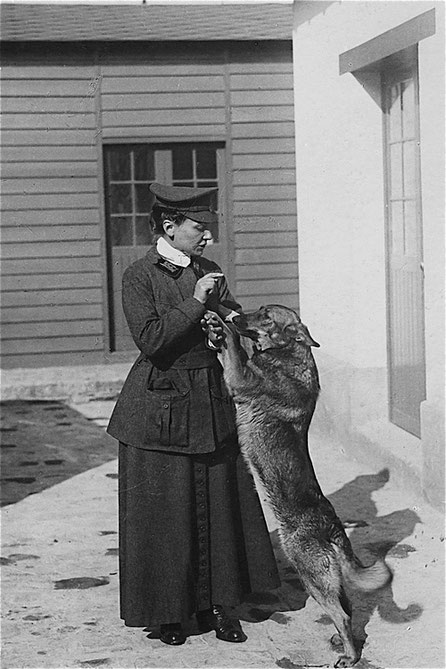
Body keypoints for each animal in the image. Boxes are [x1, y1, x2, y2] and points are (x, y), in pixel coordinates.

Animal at [204, 306, 392, 664]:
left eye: (266, 316)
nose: (234, 314)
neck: (287, 354)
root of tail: (332, 527)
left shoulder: (240, 379)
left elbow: (234, 350)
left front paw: (222, 329)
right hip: (323, 575)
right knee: (346, 606)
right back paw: (342, 642)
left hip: (308, 571)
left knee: (342, 613)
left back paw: (349, 655)